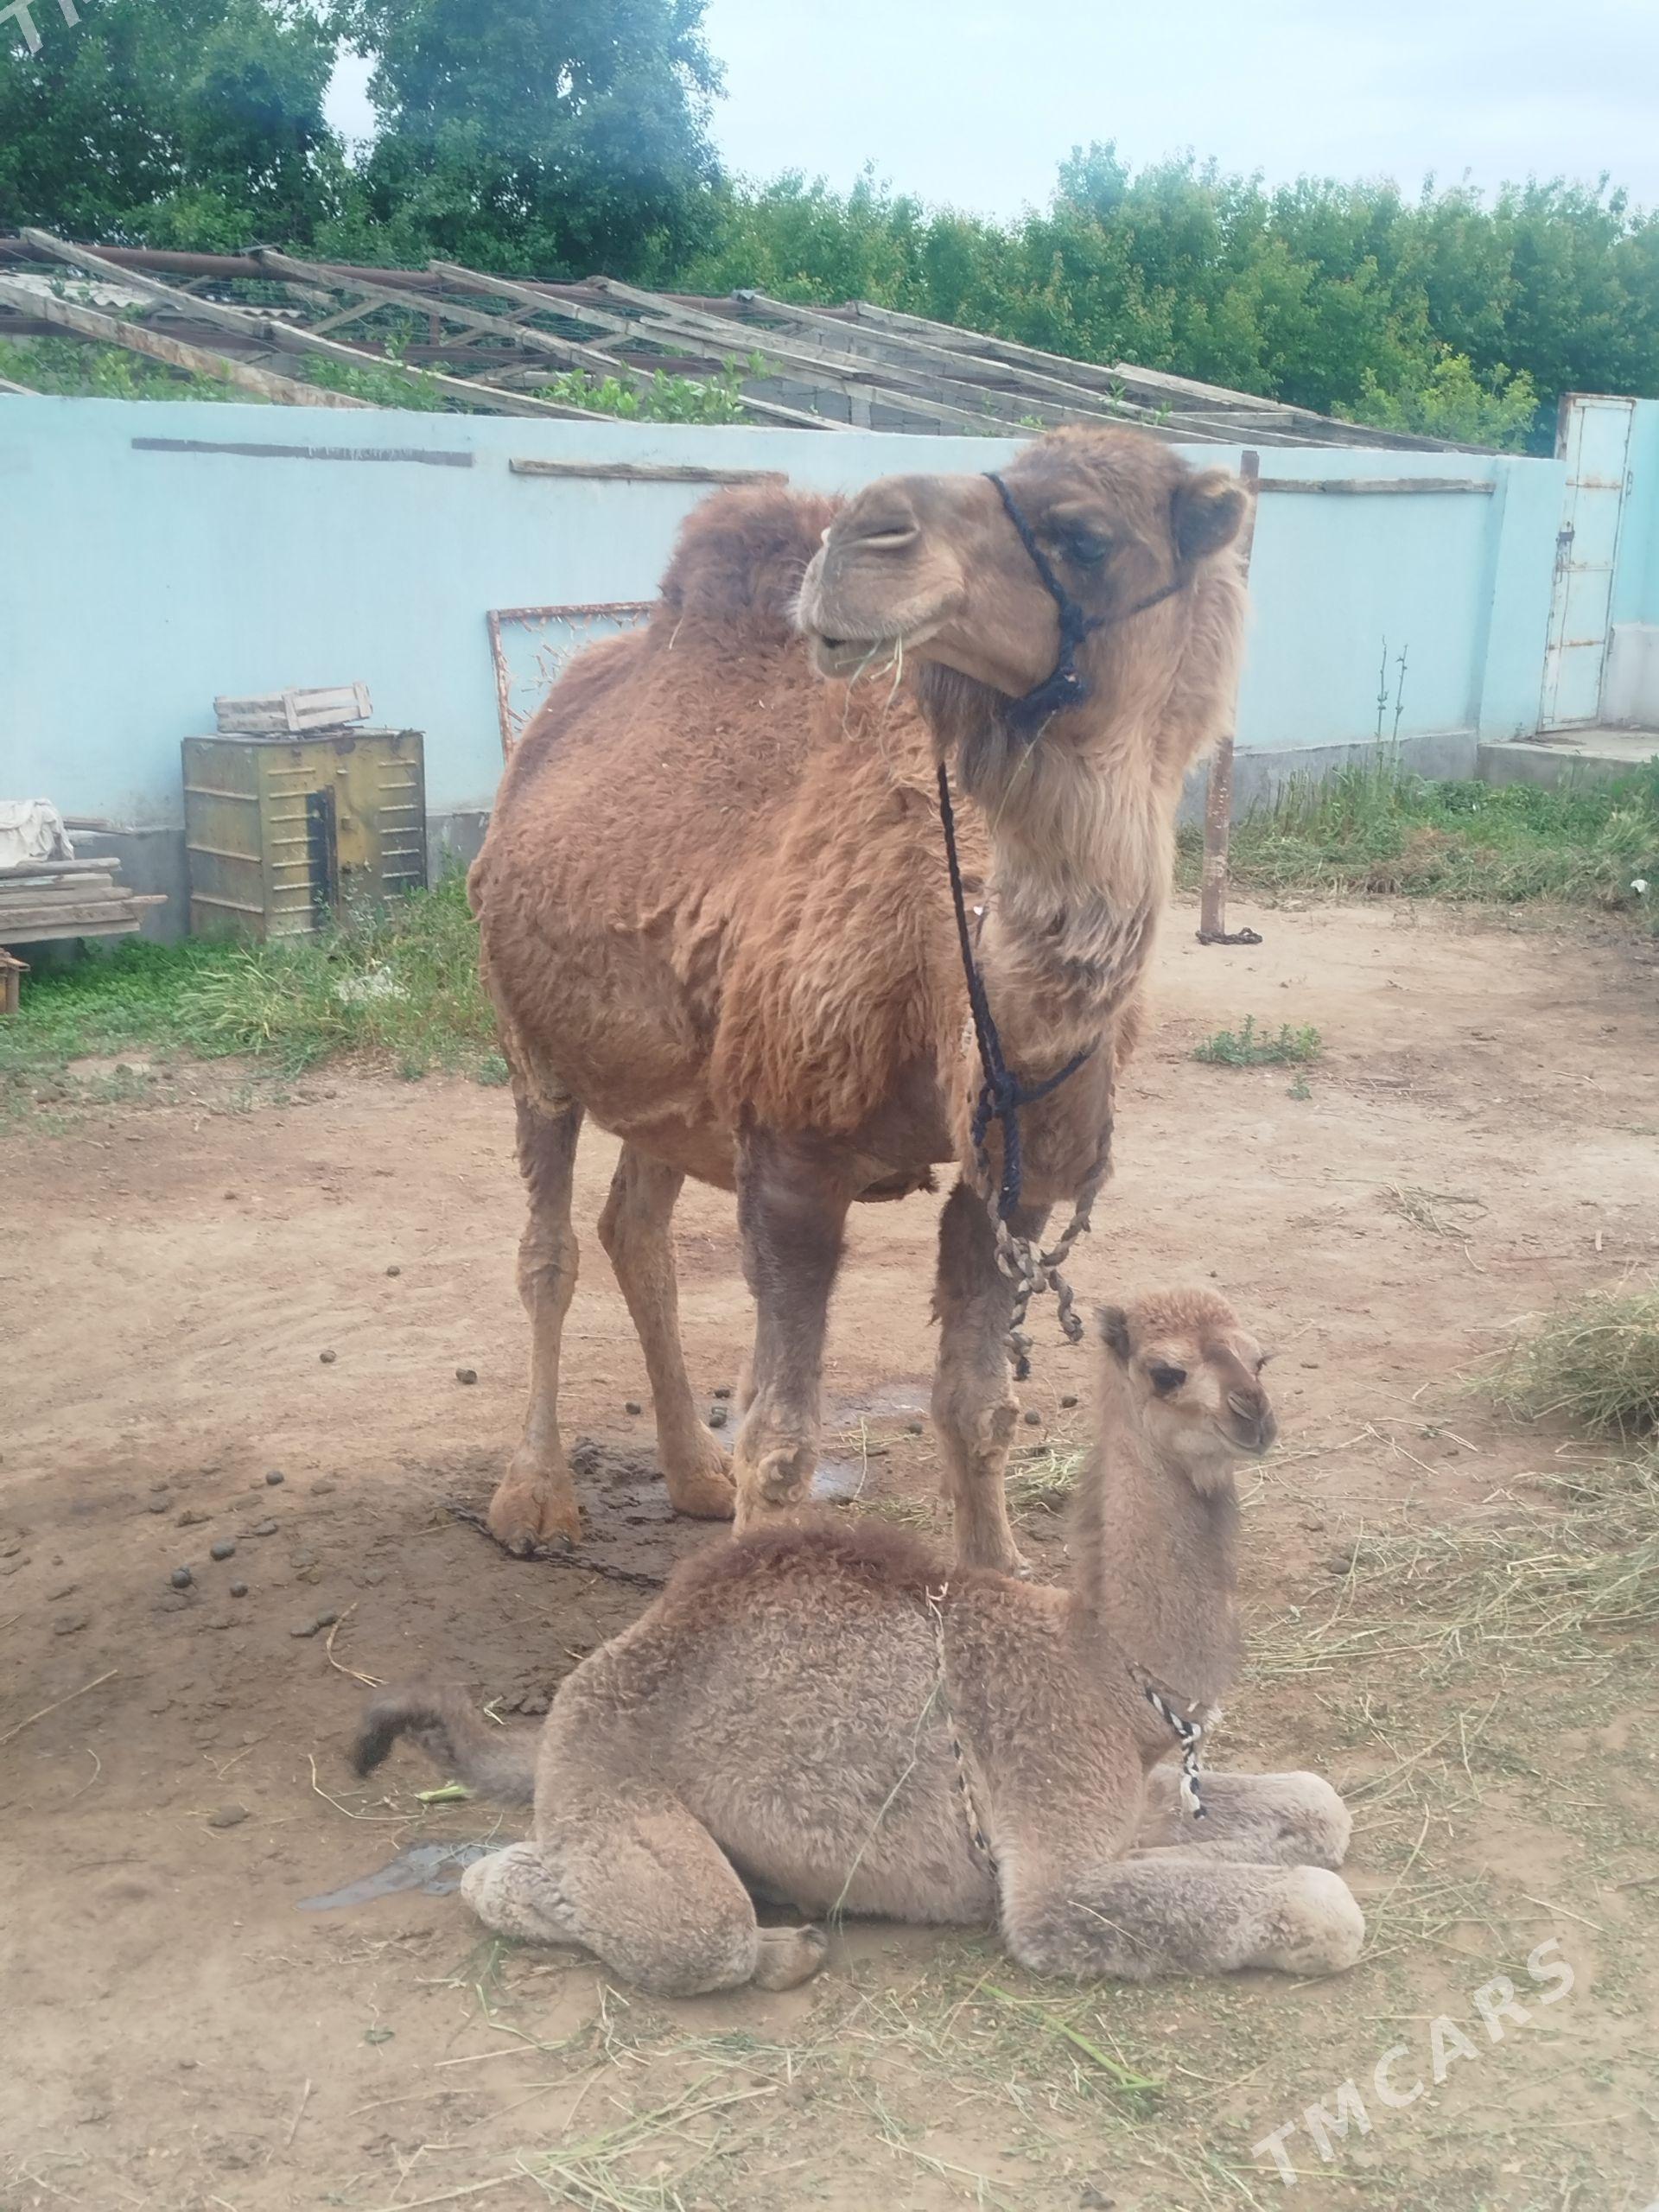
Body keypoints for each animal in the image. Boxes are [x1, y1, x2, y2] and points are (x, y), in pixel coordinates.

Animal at [354, 1288, 1363, 1995]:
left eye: (1261, 1356)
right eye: (1165, 1371)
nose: (1255, 1414)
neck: (1104, 1675)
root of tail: (579, 1695)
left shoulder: (1130, 1792)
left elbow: (1320, 1809)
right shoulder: (1051, 1865)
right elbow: (1325, 1907)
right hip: (612, 1802)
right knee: (616, 1913)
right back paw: (780, 1945)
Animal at [468, 426, 1251, 1571]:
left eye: (1088, 535)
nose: (865, 535)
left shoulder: (1008, 1182)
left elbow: (978, 1406)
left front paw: (999, 1571)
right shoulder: (791, 1147)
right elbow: (783, 1440)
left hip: (673, 1081)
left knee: (636, 1232)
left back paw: (692, 1476)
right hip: (531, 1044)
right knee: (548, 1251)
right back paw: (534, 1499)